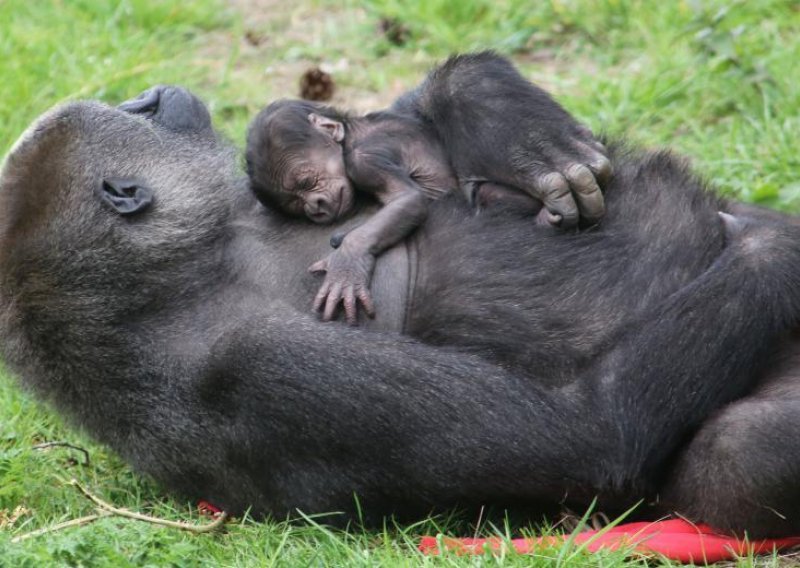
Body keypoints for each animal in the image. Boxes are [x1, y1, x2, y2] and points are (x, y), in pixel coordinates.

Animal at [1, 83, 800, 536]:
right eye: (135, 109)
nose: (158, 90)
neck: (174, 275)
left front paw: (493, 108)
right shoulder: (257, 363)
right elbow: (594, 430)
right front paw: (775, 246)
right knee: (739, 455)